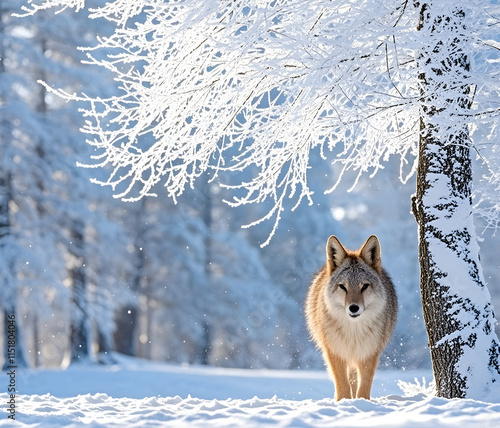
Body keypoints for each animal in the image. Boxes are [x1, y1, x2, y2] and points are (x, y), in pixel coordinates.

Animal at [304, 234, 398, 402]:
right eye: (343, 286)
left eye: (364, 286)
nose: (354, 308)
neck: (353, 332)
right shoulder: (335, 352)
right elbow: (343, 385)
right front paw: (344, 402)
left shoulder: (370, 353)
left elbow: (363, 387)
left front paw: (362, 403)